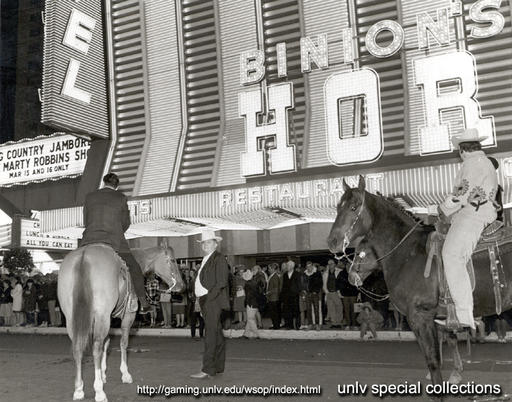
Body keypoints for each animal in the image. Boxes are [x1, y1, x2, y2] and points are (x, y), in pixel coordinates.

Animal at [57, 243, 184, 400]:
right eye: (172, 260)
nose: (181, 285)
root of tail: (84, 256)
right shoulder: (128, 316)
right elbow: (123, 343)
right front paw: (125, 374)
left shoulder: (108, 319)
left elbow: (106, 344)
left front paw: (103, 374)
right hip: (101, 316)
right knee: (96, 348)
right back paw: (99, 391)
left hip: (73, 319)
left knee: (78, 348)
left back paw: (79, 389)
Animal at [328, 175, 512, 392]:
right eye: (338, 207)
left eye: (354, 207)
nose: (332, 241)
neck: (408, 252)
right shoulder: (438, 318)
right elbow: (446, 344)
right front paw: (454, 373)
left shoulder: (420, 317)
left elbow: (433, 361)